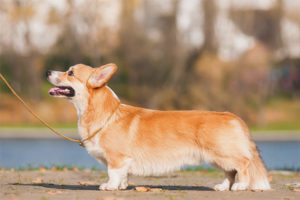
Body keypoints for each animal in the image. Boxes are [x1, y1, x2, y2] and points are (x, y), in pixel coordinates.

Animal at [46, 63, 270, 191]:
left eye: (70, 73)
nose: (47, 71)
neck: (103, 114)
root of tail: (233, 116)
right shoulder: (123, 161)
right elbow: (123, 175)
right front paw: (122, 186)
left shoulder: (116, 158)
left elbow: (113, 173)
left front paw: (110, 187)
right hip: (217, 157)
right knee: (230, 172)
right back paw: (222, 187)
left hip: (222, 153)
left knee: (243, 164)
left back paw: (240, 185)